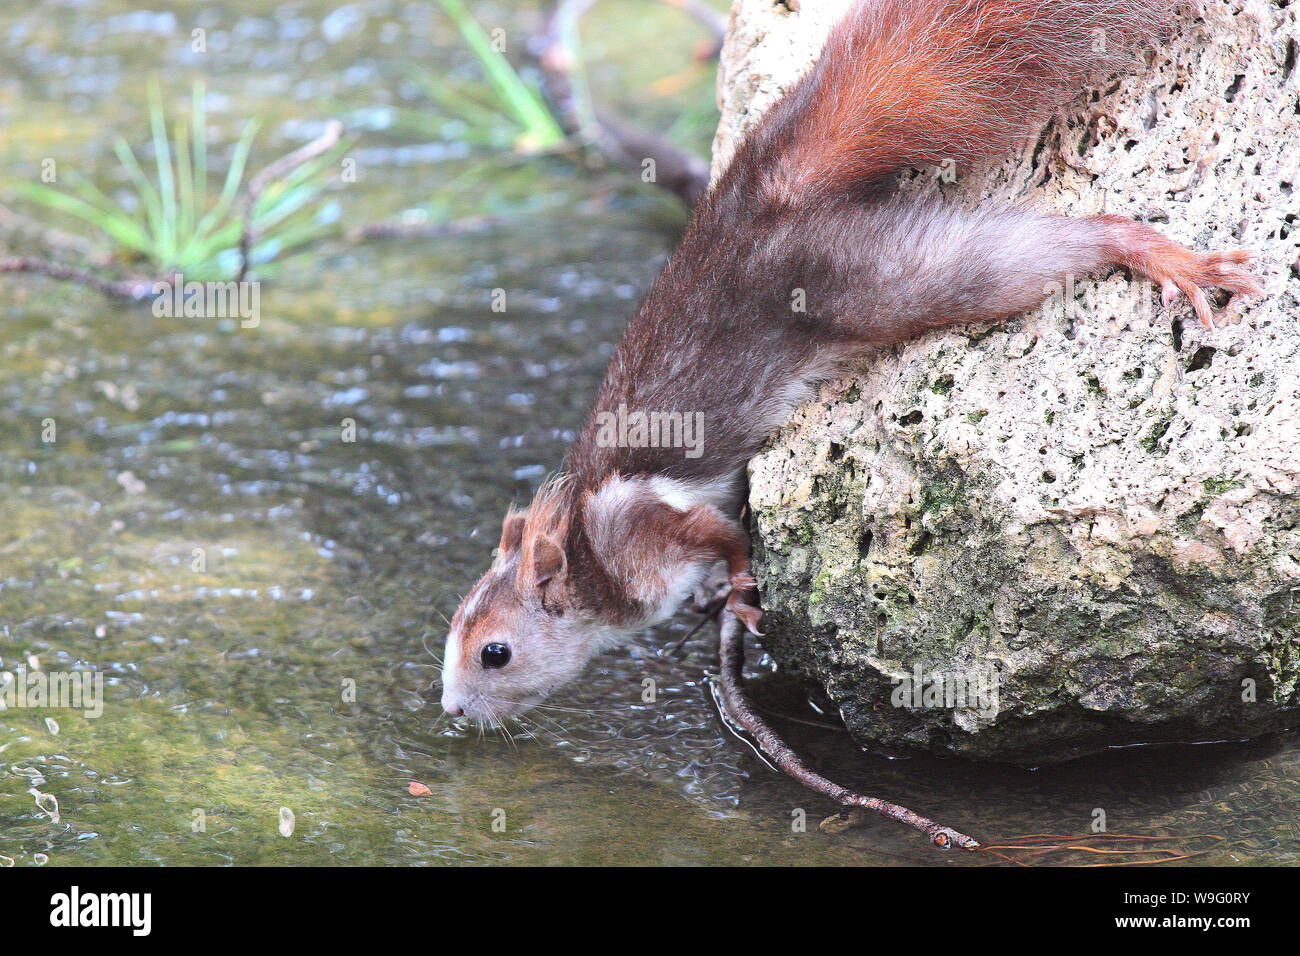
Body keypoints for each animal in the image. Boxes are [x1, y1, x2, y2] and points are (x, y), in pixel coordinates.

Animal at [439, 0, 1263, 722]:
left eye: (494, 653)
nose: (451, 709)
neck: (585, 553)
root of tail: (766, 191)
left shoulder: (644, 527)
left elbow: (724, 539)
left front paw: (740, 592)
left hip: (886, 276)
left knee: (1048, 249)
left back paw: (1157, 253)